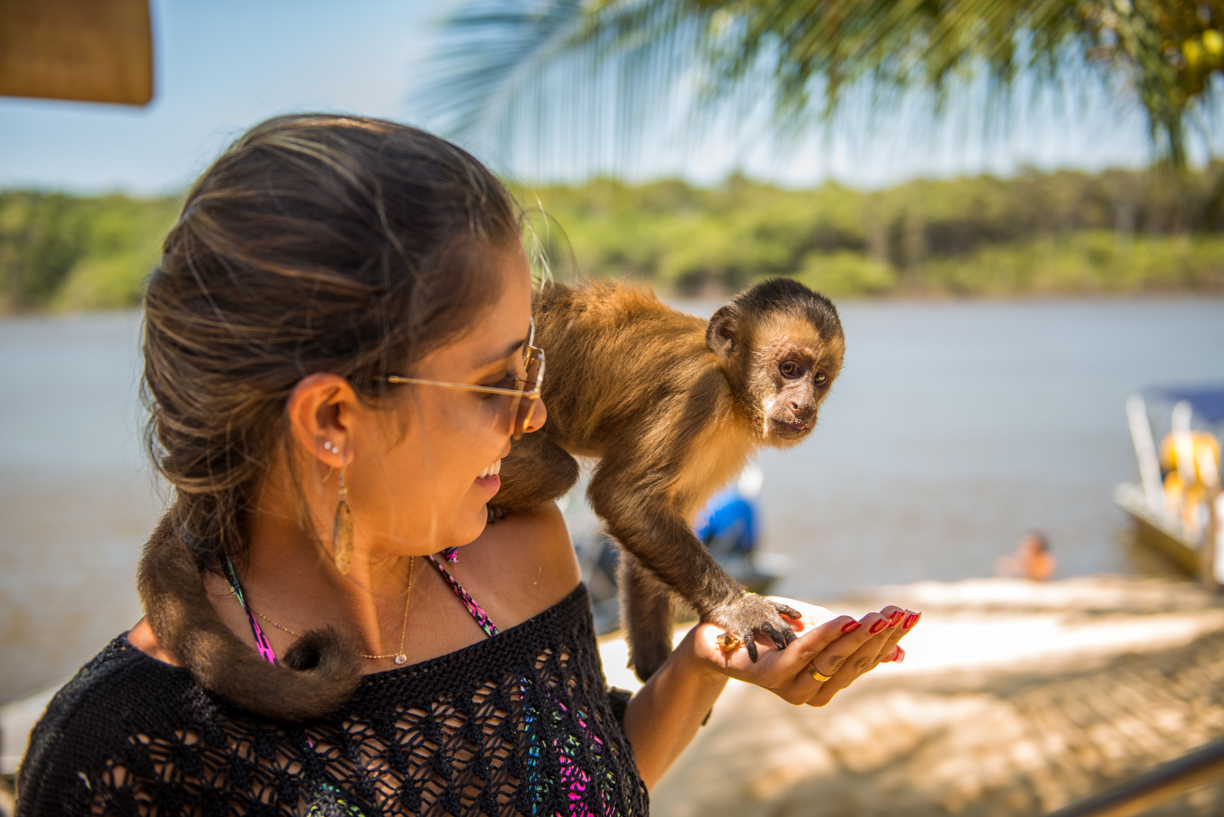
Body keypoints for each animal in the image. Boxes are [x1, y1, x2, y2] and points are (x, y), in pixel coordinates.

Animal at [492, 278, 847, 681]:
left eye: (819, 379)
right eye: (789, 369)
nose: (806, 406)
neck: (730, 383)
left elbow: (649, 525)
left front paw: (656, 668)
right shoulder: (699, 393)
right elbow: (623, 497)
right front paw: (741, 608)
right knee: (559, 471)